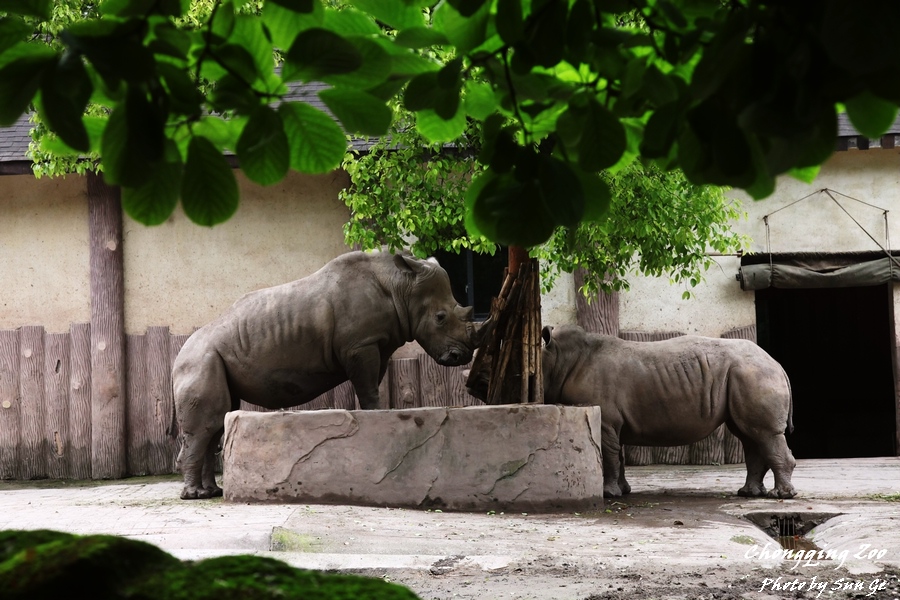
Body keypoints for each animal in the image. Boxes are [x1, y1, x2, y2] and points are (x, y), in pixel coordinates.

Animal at [173, 251, 490, 500]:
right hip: (200, 359)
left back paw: (210, 493)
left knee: (216, 423)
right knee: (207, 424)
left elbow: (372, 383)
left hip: (209, 357)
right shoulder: (360, 345)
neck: (400, 285)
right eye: (440, 318)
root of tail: (178, 356)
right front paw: (377, 414)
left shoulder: (378, 343)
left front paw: (375, 414)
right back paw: (193, 496)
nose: (460, 357)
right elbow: (367, 386)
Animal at [539, 325, 797, 499]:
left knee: (763, 434)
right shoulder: (614, 423)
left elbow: (609, 455)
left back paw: (780, 496)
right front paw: (624, 490)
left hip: (754, 373)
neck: (559, 358)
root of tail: (778, 364)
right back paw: (748, 493)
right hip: (747, 374)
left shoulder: (606, 422)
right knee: (750, 435)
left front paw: (609, 495)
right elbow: (618, 455)